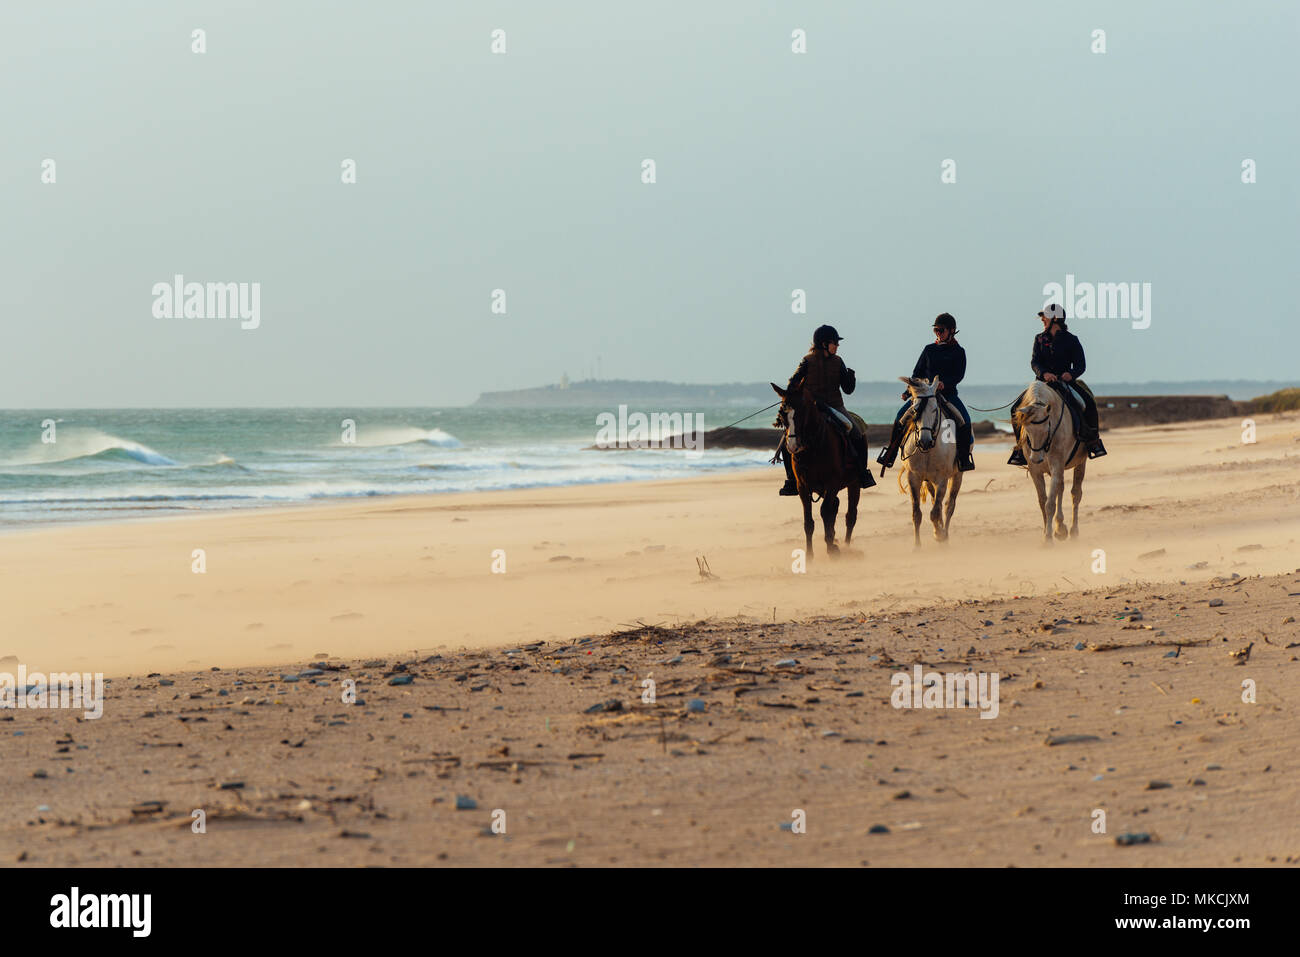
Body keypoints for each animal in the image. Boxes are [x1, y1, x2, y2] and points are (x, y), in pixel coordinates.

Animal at [769, 382, 863, 561]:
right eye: (782, 414)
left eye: (802, 412)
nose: (792, 446)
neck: (812, 447)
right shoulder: (802, 487)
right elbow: (809, 521)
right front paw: (809, 554)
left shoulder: (832, 483)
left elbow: (825, 512)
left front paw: (831, 549)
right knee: (835, 506)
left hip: (854, 483)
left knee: (850, 515)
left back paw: (846, 546)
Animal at [894, 377, 967, 548]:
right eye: (915, 409)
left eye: (934, 409)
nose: (924, 441)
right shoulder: (914, 477)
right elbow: (917, 514)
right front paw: (917, 546)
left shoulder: (942, 479)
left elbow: (935, 512)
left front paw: (940, 536)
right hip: (928, 480)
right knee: (936, 502)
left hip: (957, 476)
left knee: (948, 505)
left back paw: (944, 533)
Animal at [1013, 379, 1086, 540]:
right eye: (1027, 430)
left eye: (1047, 430)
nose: (1036, 459)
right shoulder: (1035, 471)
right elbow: (1043, 501)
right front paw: (1048, 532)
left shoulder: (1056, 465)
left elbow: (1050, 504)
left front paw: (1048, 539)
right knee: (1061, 488)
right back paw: (1060, 528)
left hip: (1080, 462)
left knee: (1076, 494)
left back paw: (1073, 531)